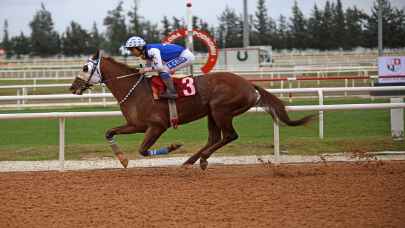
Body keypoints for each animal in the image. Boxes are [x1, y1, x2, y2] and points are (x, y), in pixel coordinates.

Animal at [69, 51, 312, 169]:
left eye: (85, 67)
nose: (72, 87)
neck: (135, 91)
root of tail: (250, 85)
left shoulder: (156, 126)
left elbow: (143, 150)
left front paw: (174, 146)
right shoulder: (135, 125)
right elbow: (109, 132)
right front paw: (122, 160)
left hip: (221, 110)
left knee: (229, 135)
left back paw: (201, 159)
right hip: (212, 113)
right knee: (214, 138)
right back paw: (192, 161)